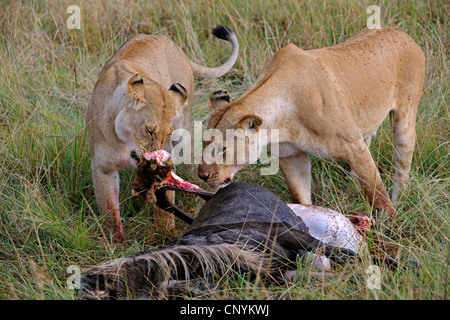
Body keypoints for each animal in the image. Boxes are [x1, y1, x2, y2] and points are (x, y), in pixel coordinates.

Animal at [85, 25, 239, 242]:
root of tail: (174, 45)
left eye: (167, 135)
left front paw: (166, 234)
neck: (124, 143)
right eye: (149, 131)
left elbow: (165, 209)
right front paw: (115, 242)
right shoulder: (102, 167)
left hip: (185, 134)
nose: (157, 158)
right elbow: (109, 211)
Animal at [200, 26, 426, 220]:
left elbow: (378, 195)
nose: (202, 175)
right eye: (203, 144)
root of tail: (400, 32)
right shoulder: (291, 156)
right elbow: (302, 198)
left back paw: (401, 201)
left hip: (404, 120)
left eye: (223, 149)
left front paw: (393, 228)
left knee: (402, 168)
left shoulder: (355, 148)